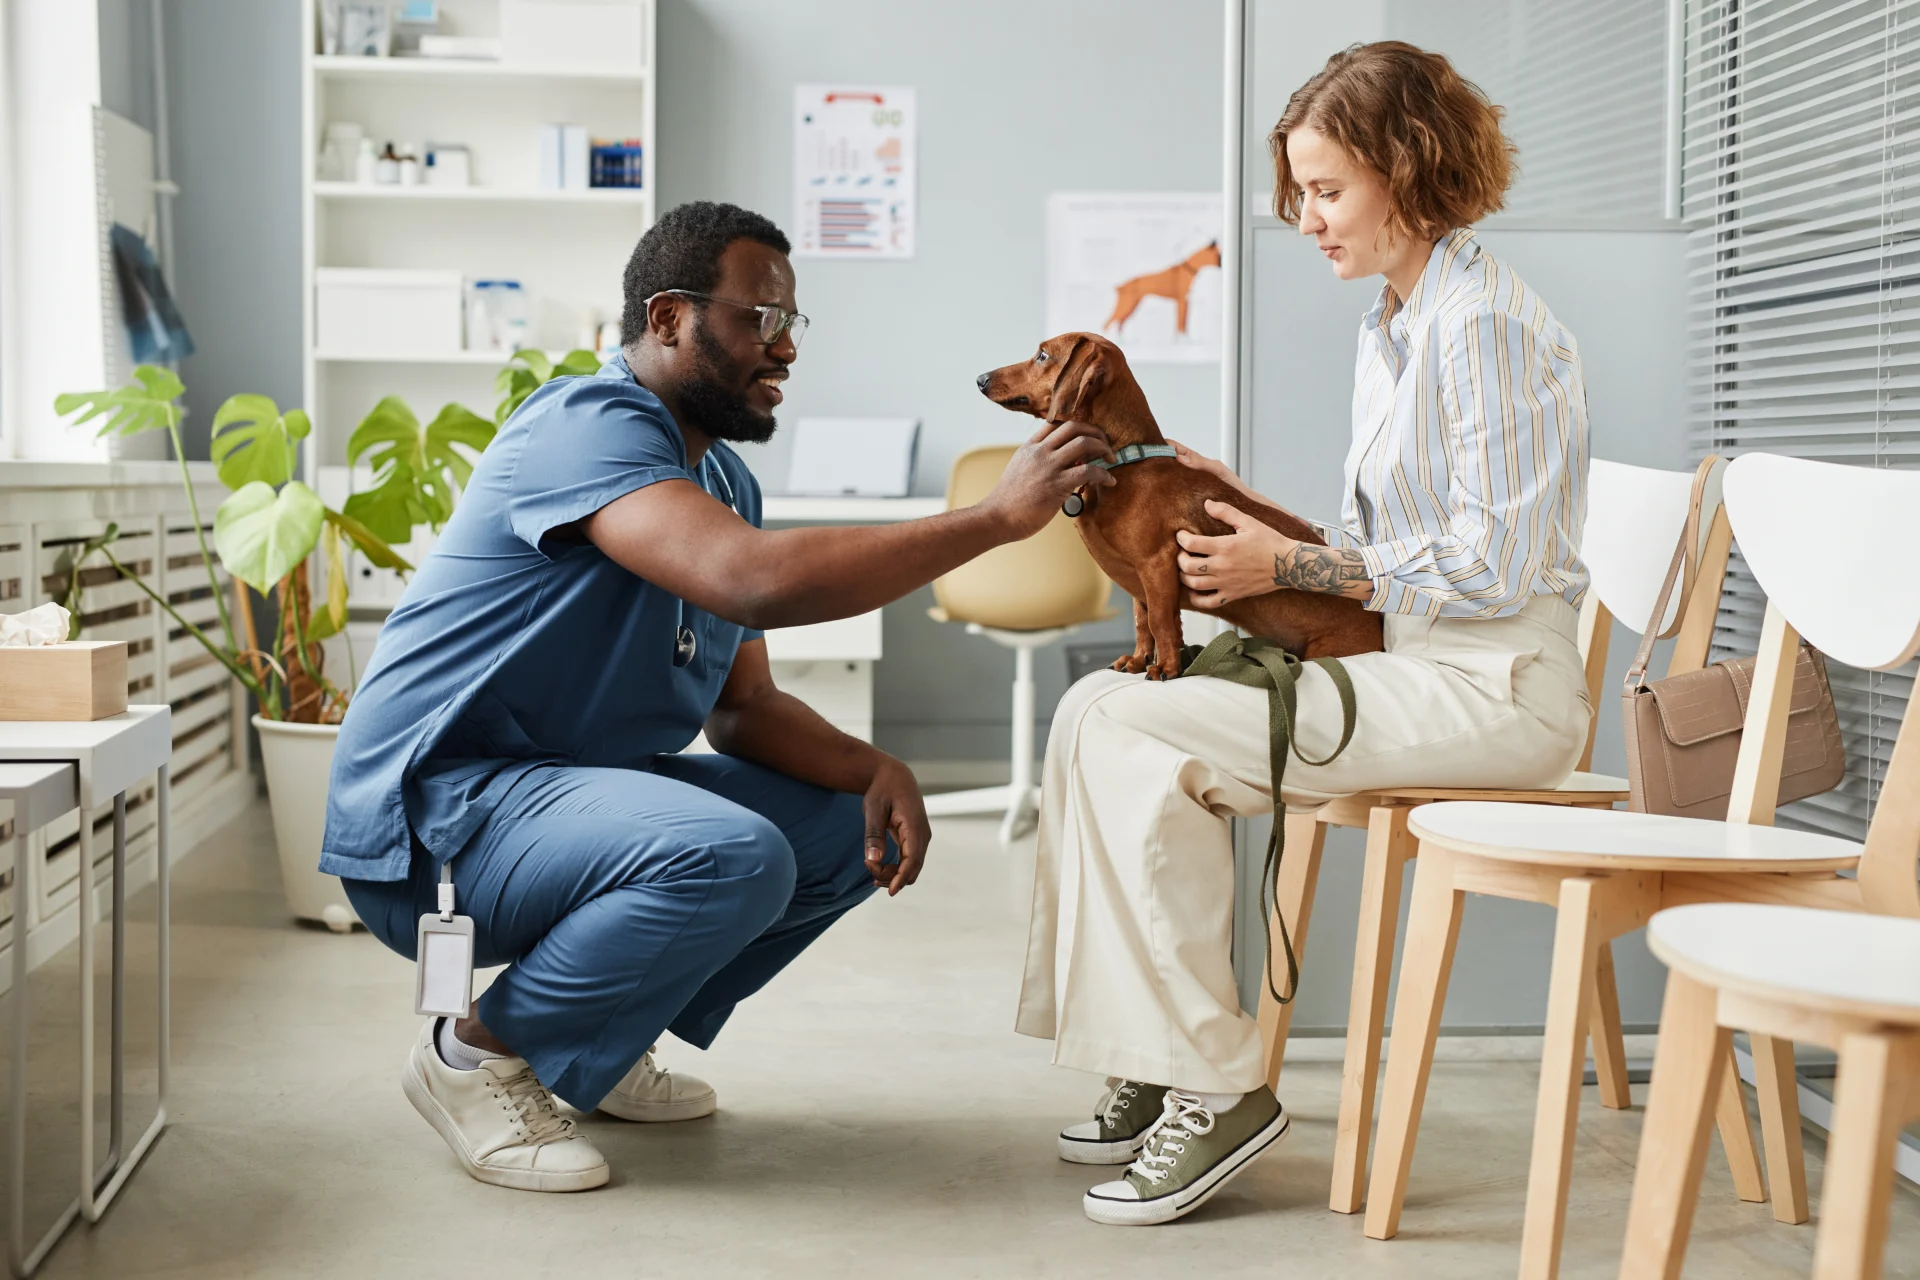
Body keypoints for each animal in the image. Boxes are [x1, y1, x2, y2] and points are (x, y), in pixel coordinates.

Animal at [983, 335, 1374, 687]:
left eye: (1042, 355)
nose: (980, 379)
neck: (1124, 463)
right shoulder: (1141, 580)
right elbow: (1143, 622)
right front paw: (1140, 660)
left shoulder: (1156, 563)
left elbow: (1160, 621)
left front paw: (1167, 668)